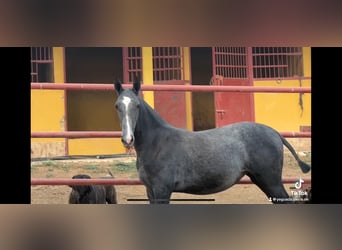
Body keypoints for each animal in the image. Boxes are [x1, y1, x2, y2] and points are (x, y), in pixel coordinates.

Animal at [114, 77, 310, 203]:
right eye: (117, 106)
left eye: (137, 105)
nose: (128, 139)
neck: (157, 144)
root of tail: (275, 133)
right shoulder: (151, 191)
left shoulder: (162, 190)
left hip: (271, 181)